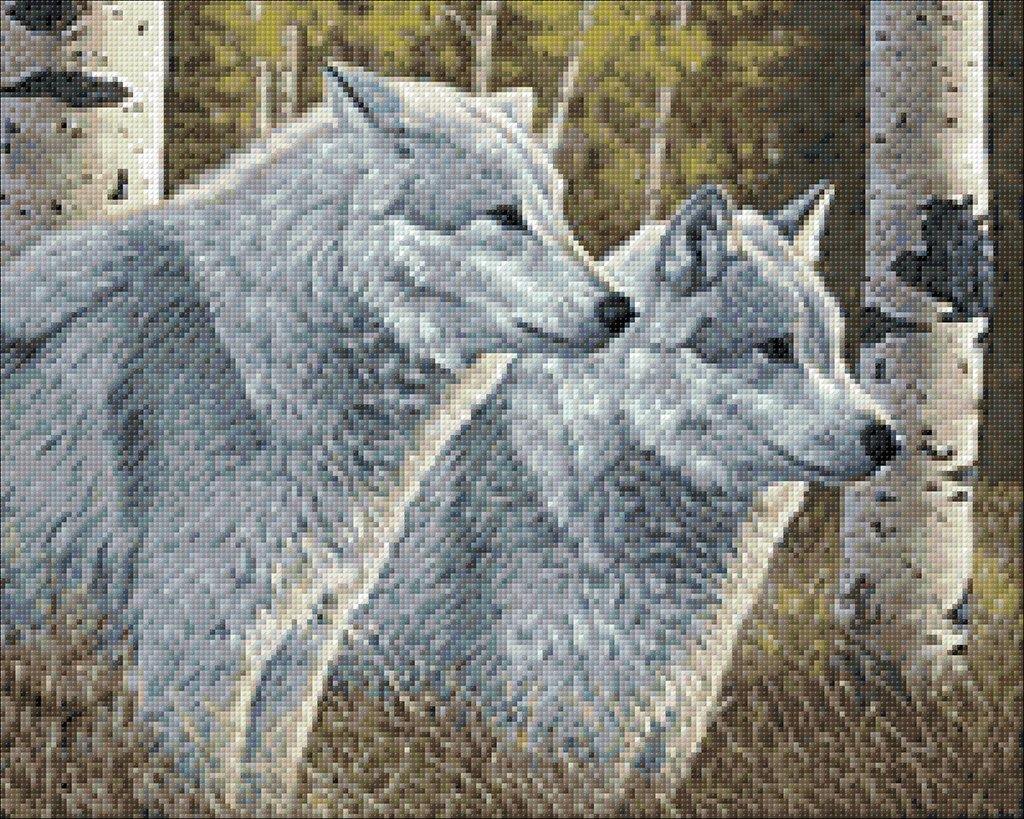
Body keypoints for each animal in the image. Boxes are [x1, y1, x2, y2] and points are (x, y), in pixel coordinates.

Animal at [0, 67, 630, 805]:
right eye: (504, 215)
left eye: (556, 212)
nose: (621, 309)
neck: (254, 360)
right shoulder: (197, 650)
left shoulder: (303, 639)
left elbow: (269, 782)